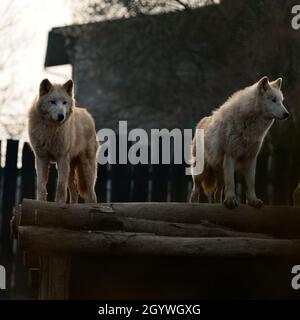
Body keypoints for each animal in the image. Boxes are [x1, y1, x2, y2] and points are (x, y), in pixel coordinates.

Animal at [191, 76, 290, 209]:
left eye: (281, 101)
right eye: (273, 100)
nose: (287, 114)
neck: (250, 125)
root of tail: (200, 122)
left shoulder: (251, 159)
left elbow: (250, 183)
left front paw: (253, 201)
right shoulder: (230, 156)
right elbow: (232, 183)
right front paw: (231, 200)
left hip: (220, 173)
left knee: (217, 192)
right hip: (201, 172)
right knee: (195, 191)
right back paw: (193, 204)